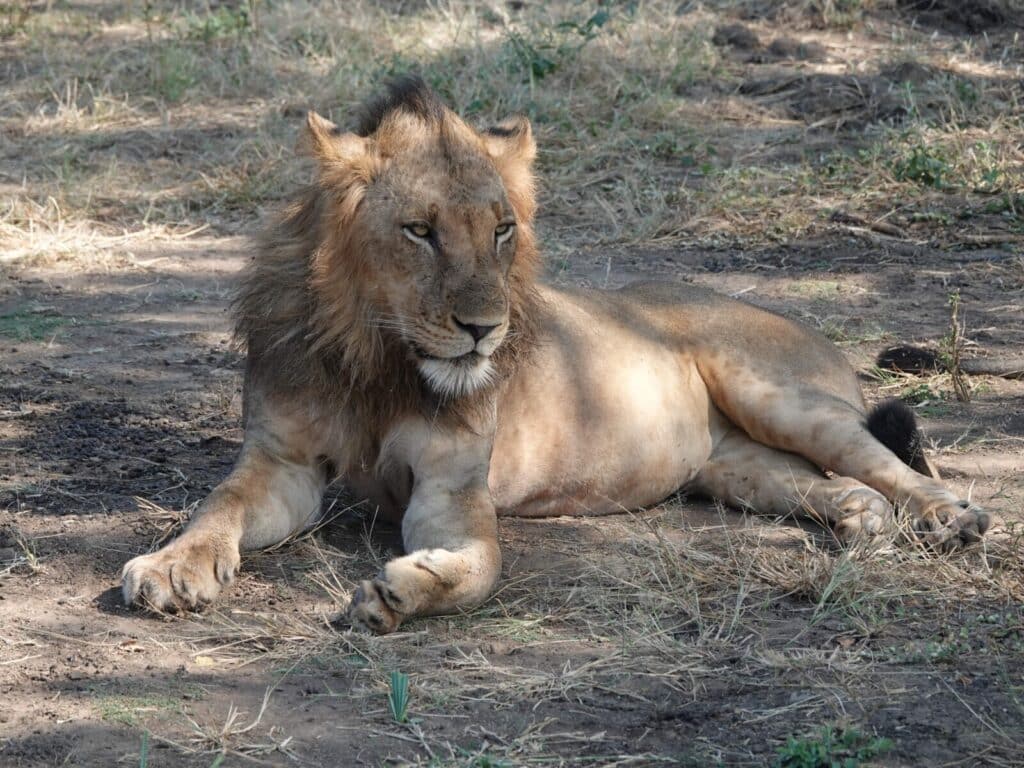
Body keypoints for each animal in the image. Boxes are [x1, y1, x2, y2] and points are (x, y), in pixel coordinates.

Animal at [119, 76, 991, 638]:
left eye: (502, 230)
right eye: (420, 231)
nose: (484, 329)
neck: (381, 355)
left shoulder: (451, 488)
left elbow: (481, 565)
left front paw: (404, 594)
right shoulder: (283, 461)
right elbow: (218, 507)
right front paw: (171, 566)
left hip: (780, 396)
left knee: (891, 465)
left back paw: (952, 518)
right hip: (734, 466)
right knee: (843, 486)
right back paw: (860, 525)